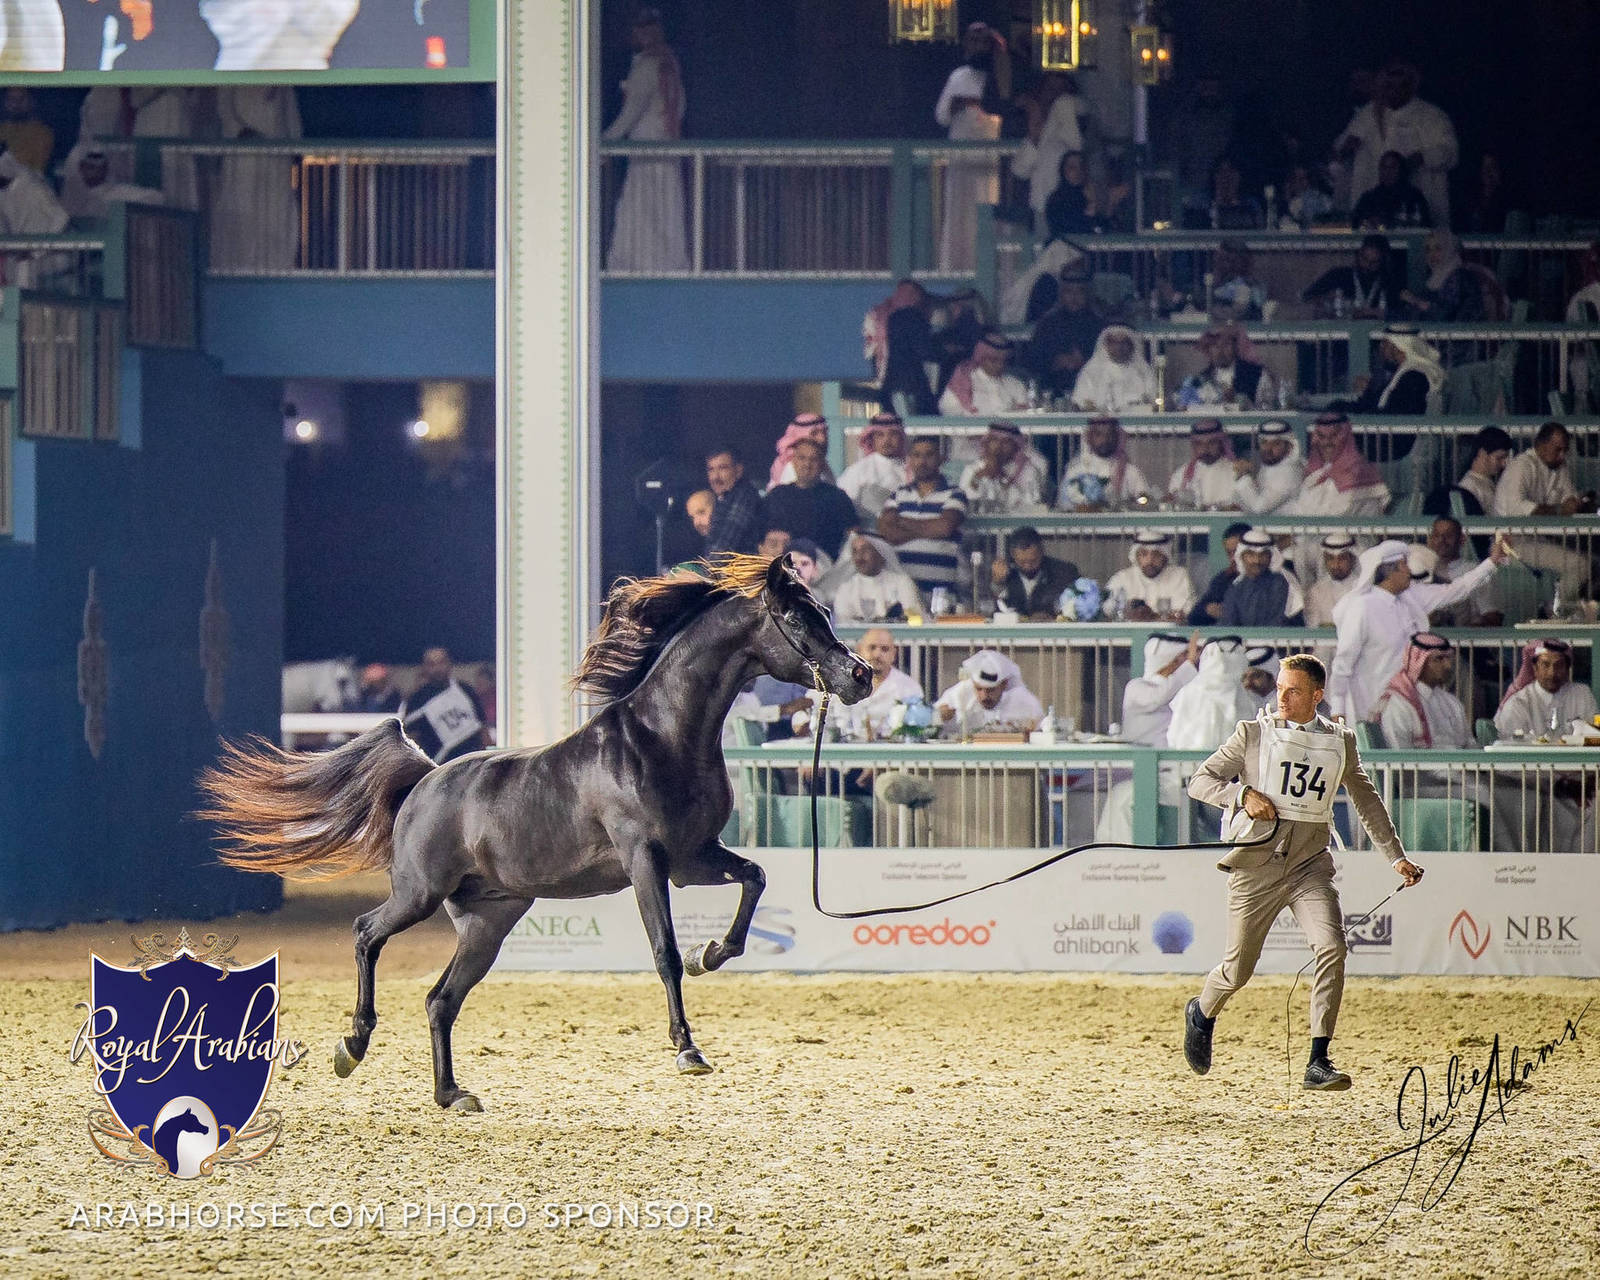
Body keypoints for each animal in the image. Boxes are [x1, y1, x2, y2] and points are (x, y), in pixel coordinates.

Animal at [198, 554, 871, 1111]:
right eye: (796, 616)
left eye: (824, 610)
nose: (859, 675)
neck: (662, 739)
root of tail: (424, 778)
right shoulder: (646, 860)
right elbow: (663, 952)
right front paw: (688, 1048)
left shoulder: (692, 858)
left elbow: (754, 879)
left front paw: (712, 954)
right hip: (418, 895)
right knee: (366, 933)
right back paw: (353, 1045)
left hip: (488, 923)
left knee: (440, 1000)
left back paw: (452, 1095)